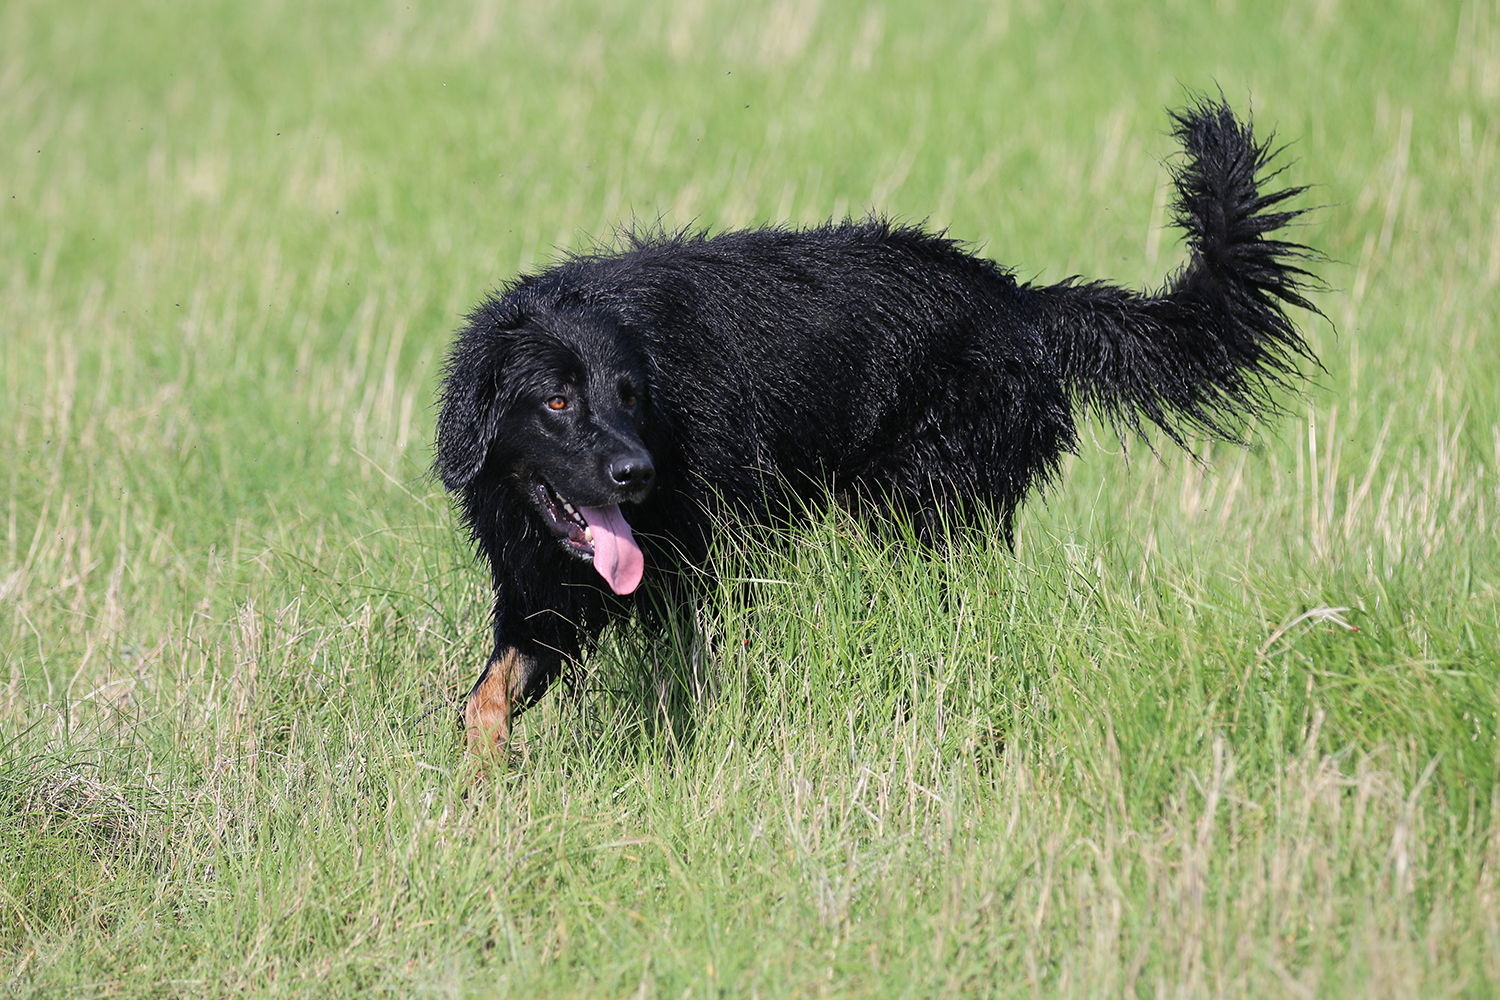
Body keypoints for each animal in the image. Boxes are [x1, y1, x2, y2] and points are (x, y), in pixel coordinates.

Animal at [435, 98, 1320, 760]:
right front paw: (485, 784)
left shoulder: (712, 561)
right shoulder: (545, 592)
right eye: (557, 402)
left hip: (925, 510)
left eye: (630, 396)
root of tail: (1016, 299)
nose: (635, 474)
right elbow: (485, 698)